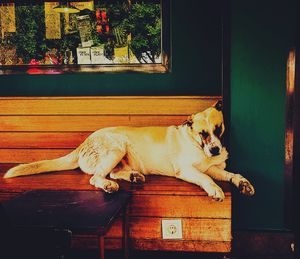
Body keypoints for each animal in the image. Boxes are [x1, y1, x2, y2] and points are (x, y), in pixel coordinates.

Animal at [3, 101, 254, 201]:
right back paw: (109, 186)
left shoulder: (214, 168)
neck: (196, 144)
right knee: (96, 178)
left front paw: (242, 182)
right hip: (117, 147)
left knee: (113, 172)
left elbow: (230, 174)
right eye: (203, 133)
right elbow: (205, 178)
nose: (215, 150)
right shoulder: (187, 170)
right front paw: (215, 190)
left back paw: (133, 176)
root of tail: (83, 143)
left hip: (120, 156)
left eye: (217, 129)